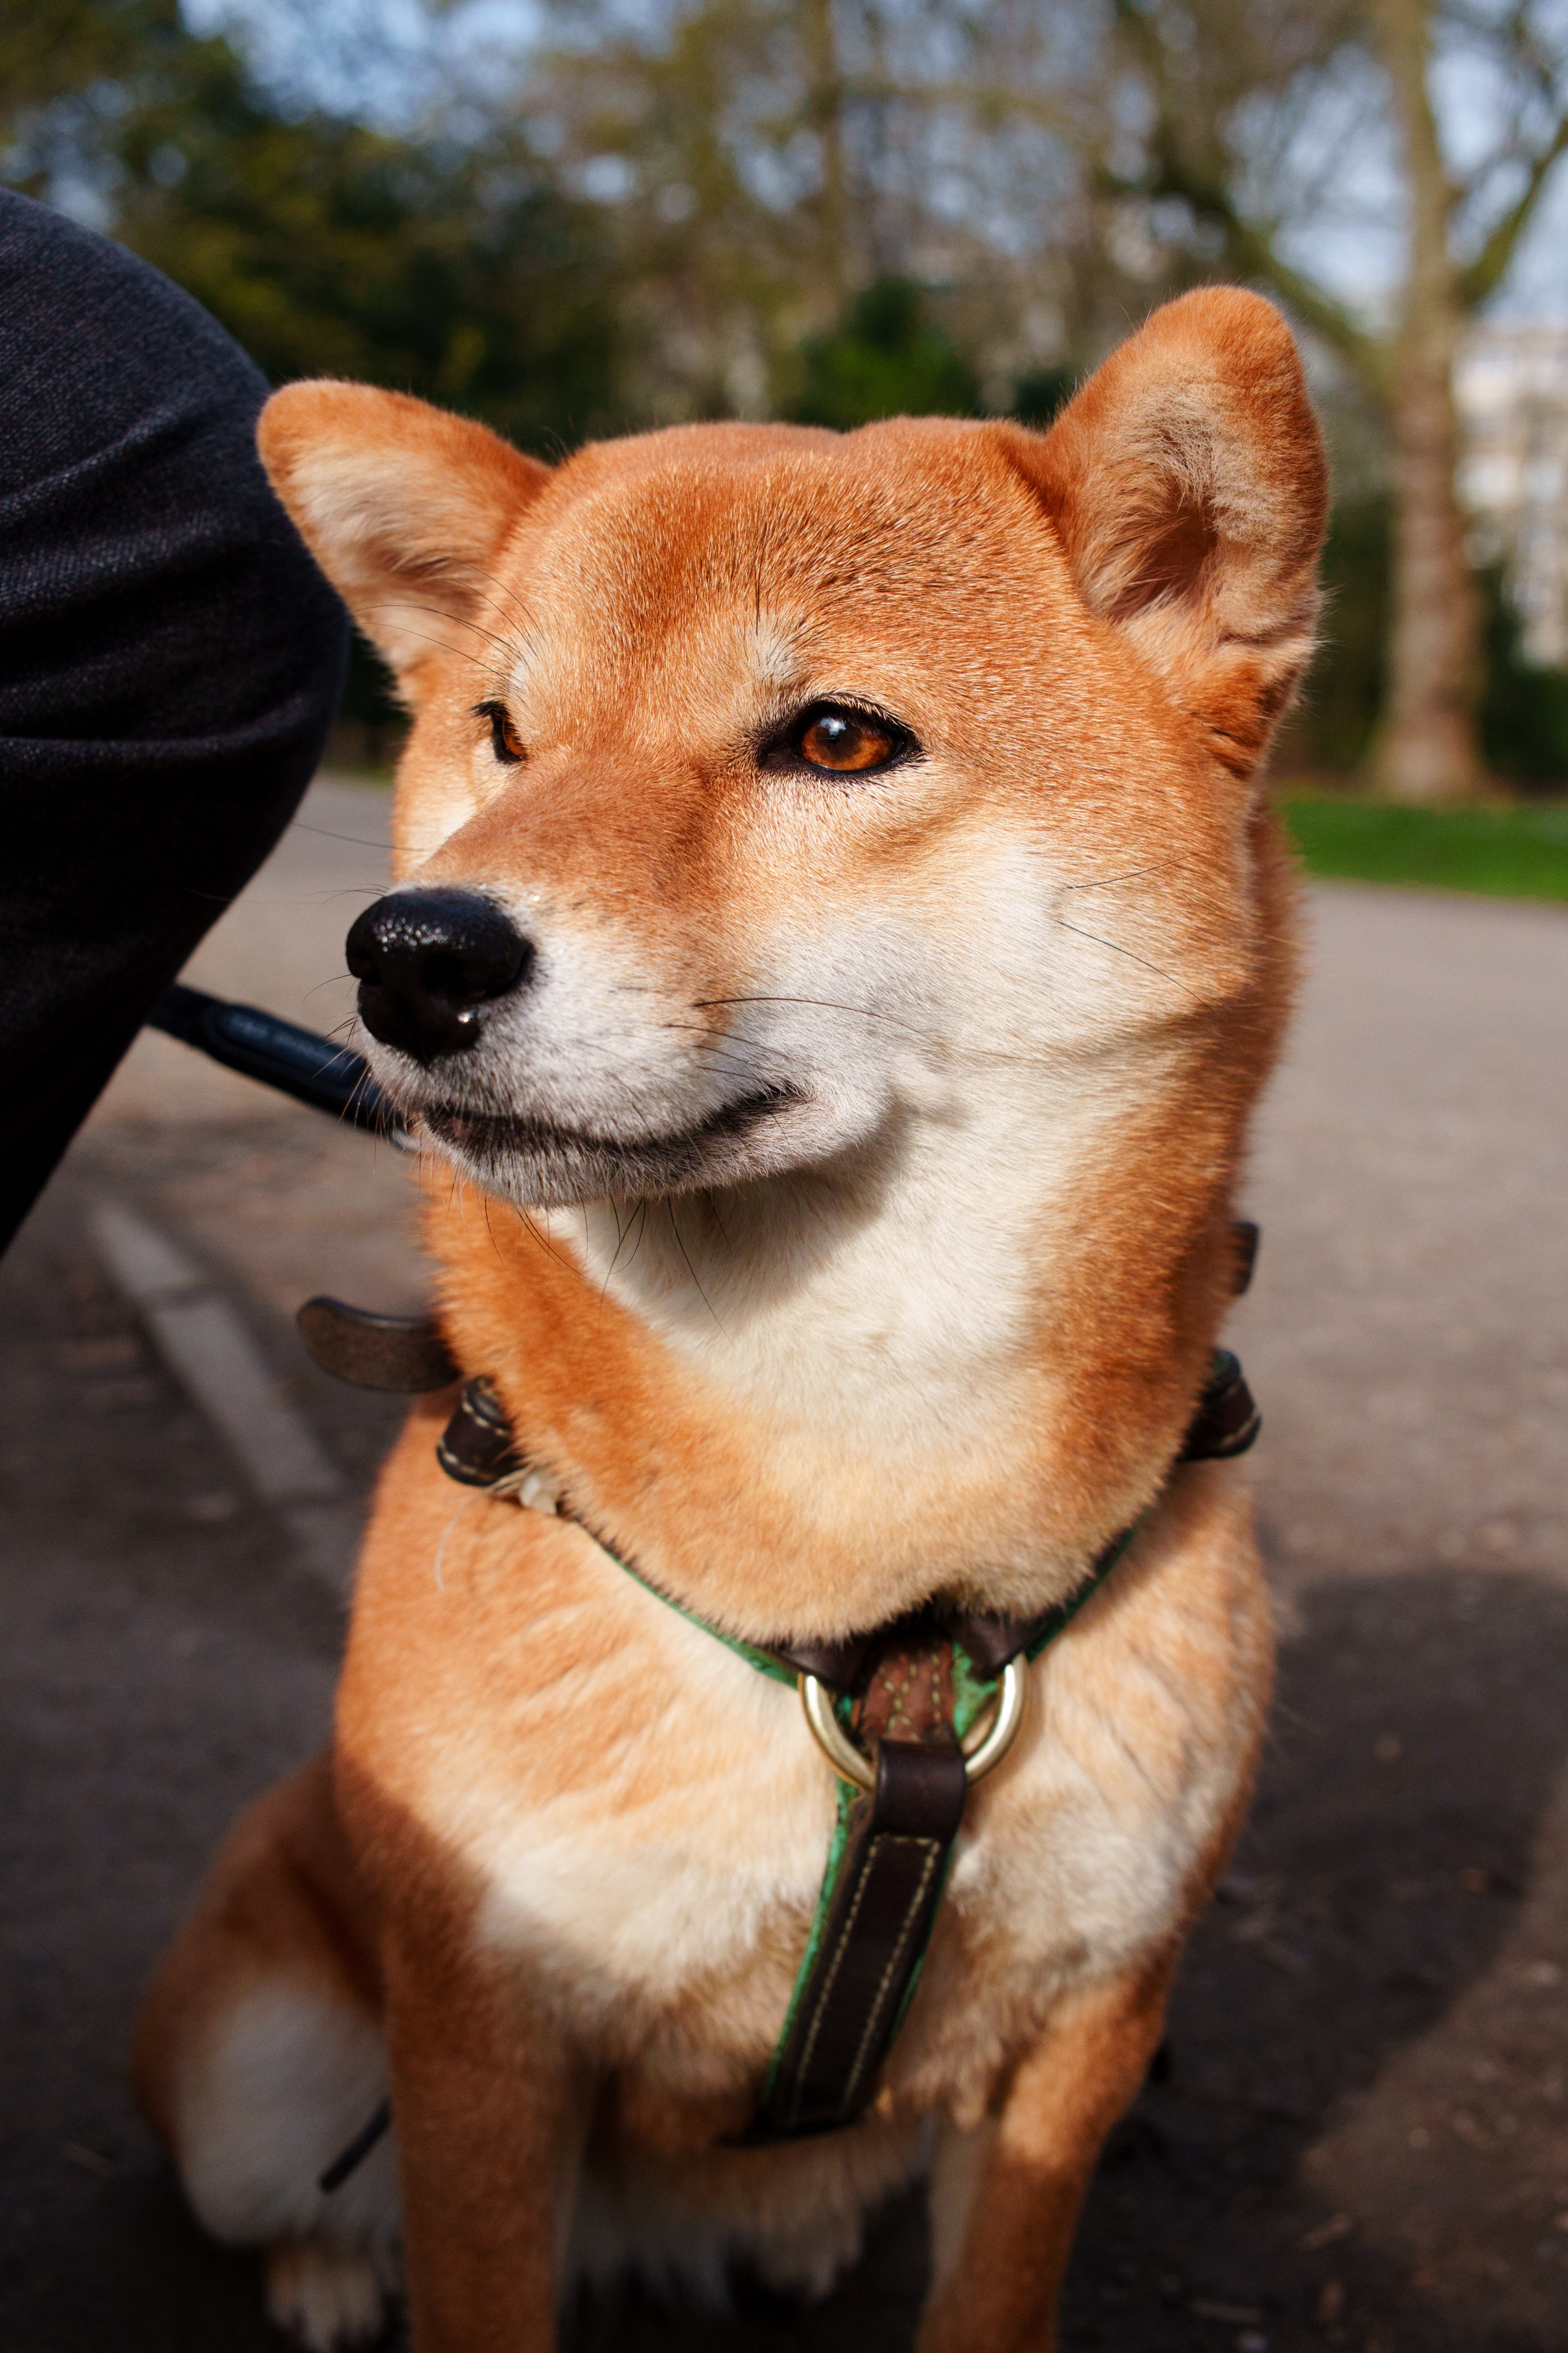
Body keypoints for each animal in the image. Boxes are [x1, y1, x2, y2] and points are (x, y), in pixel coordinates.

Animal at [135, 285, 1335, 2343]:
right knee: (296, 2185)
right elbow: (472, 2277)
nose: (411, 952)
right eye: (504, 734)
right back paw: (325, 2268)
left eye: (836, 738)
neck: (873, 1561)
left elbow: (995, 2293)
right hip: (252, 2059)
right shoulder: (479, 2040)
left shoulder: (1083, 2036)